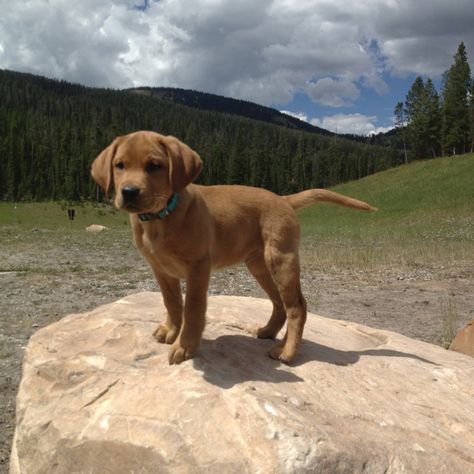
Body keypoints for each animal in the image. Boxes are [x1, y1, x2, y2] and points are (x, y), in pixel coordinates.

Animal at [90, 131, 376, 364]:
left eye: (154, 166)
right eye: (119, 165)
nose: (129, 191)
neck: (162, 217)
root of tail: (283, 199)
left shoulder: (198, 268)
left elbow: (193, 308)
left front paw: (186, 346)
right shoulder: (161, 269)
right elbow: (171, 302)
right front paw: (171, 330)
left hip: (281, 259)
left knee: (297, 306)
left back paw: (287, 352)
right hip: (258, 265)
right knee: (279, 303)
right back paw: (268, 332)